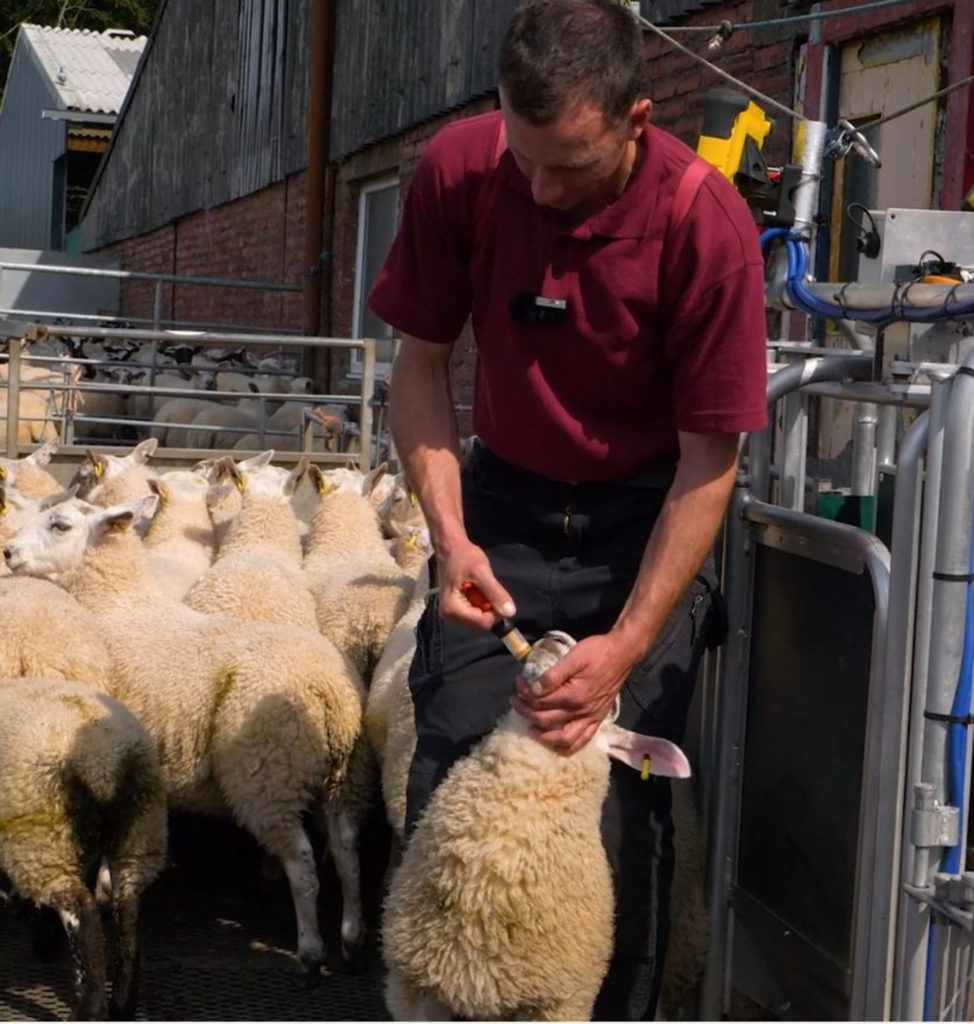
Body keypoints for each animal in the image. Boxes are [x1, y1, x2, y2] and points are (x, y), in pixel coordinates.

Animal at [0, 675, 166, 1019]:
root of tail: (102, 760)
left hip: (41, 838)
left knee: (82, 914)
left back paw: (88, 1009)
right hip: (137, 830)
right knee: (128, 907)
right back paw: (122, 1004)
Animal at [3, 495, 374, 974]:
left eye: (61, 525)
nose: (9, 552)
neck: (118, 605)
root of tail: (329, 690)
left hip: (269, 774)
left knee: (303, 865)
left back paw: (310, 951)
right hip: (344, 773)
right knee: (347, 853)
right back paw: (352, 935)